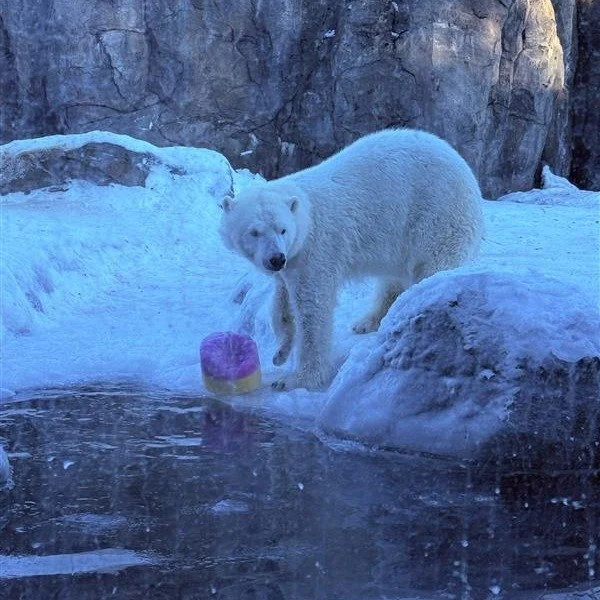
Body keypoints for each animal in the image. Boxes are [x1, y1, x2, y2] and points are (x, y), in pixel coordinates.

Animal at [219, 129, 484, 391]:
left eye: (282, 229)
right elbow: (282, 302)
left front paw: (297, 378)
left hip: (437, 214)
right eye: (254, 232)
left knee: (432, 265)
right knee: (393, 278)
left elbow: (313, 307)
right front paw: (281, 352)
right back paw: (368, 321)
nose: (276, 259)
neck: (307, 215)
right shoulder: (293, 259)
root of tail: (466, 171)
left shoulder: (316, 249)